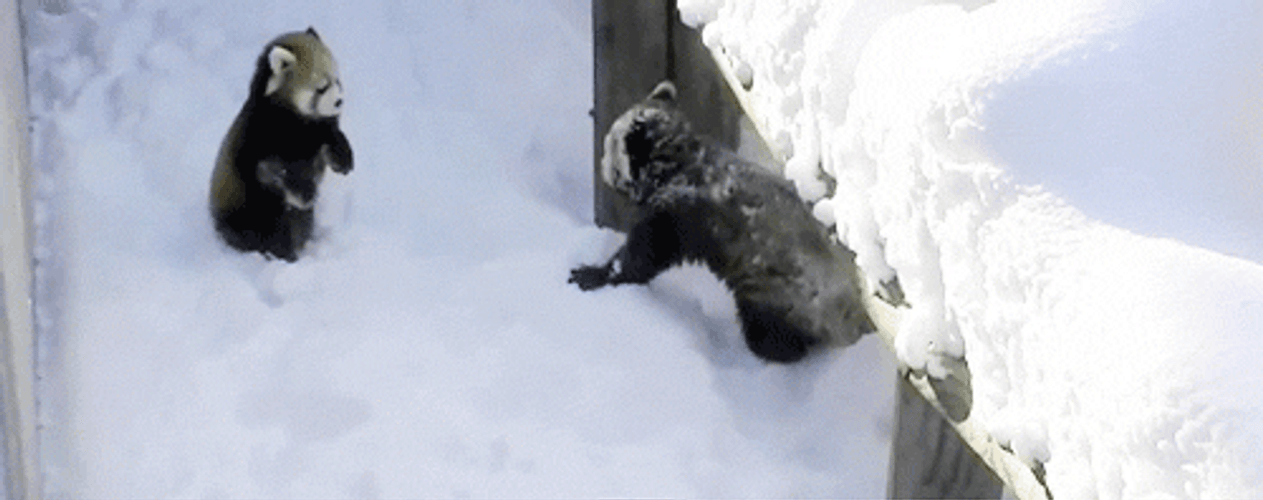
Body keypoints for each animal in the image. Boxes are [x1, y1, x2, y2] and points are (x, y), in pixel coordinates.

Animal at [209, 27, 353, 262]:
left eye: (337, 81)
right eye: (321, 88)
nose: (339, 101)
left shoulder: (320, 130)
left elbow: (332, 141)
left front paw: (344, 158)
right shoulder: (261, 138)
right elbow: (275, 172)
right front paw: (302, 192)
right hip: (250, 214)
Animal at [569, 81, 874, 363]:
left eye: (608, 148)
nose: (603, 169)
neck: (678, 165)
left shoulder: (681, 214)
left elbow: (643, 256)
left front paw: (597, 274)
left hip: (782, 298)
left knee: (770, 333)